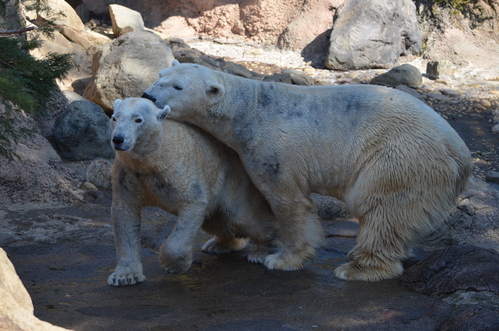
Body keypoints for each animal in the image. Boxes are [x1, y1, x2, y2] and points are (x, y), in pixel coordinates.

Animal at [110, 97, 282, 286]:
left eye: (138, 120)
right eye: (114, 117)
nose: (118, 139)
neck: (150, 159)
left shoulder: (177, 171)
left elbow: (192, 203)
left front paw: (171, 265)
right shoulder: (127, 176)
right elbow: (125, 215)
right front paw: (124, 276)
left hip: (234, 180)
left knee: (243, 216)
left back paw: (264, 251)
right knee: (217, 220)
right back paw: (219, 245)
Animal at [144, 61, 472, 282]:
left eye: (177, 87)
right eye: (160, 76)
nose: (148, 96)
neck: (248, 111)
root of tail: (461, 154)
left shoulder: (274, 148)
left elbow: (287, 201)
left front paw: (282, 259)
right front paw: (232, 246)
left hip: (399, 158)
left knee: (383, 209)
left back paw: (358, 267)